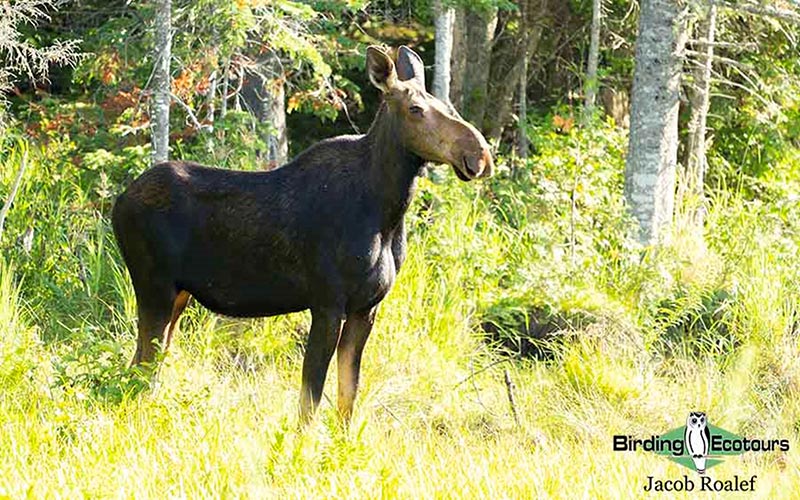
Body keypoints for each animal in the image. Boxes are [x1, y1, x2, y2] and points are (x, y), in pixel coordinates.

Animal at [109, 45, 490, 424]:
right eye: (415, 109)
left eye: (447, 106)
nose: (479, 154)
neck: (386, 215)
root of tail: (120, 201)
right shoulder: (327, 304)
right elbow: (310, 400)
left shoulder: (366, 308)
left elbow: (347, 397)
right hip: (154, 286)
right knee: (141, 367)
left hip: (179, 294)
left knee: (144, 366)